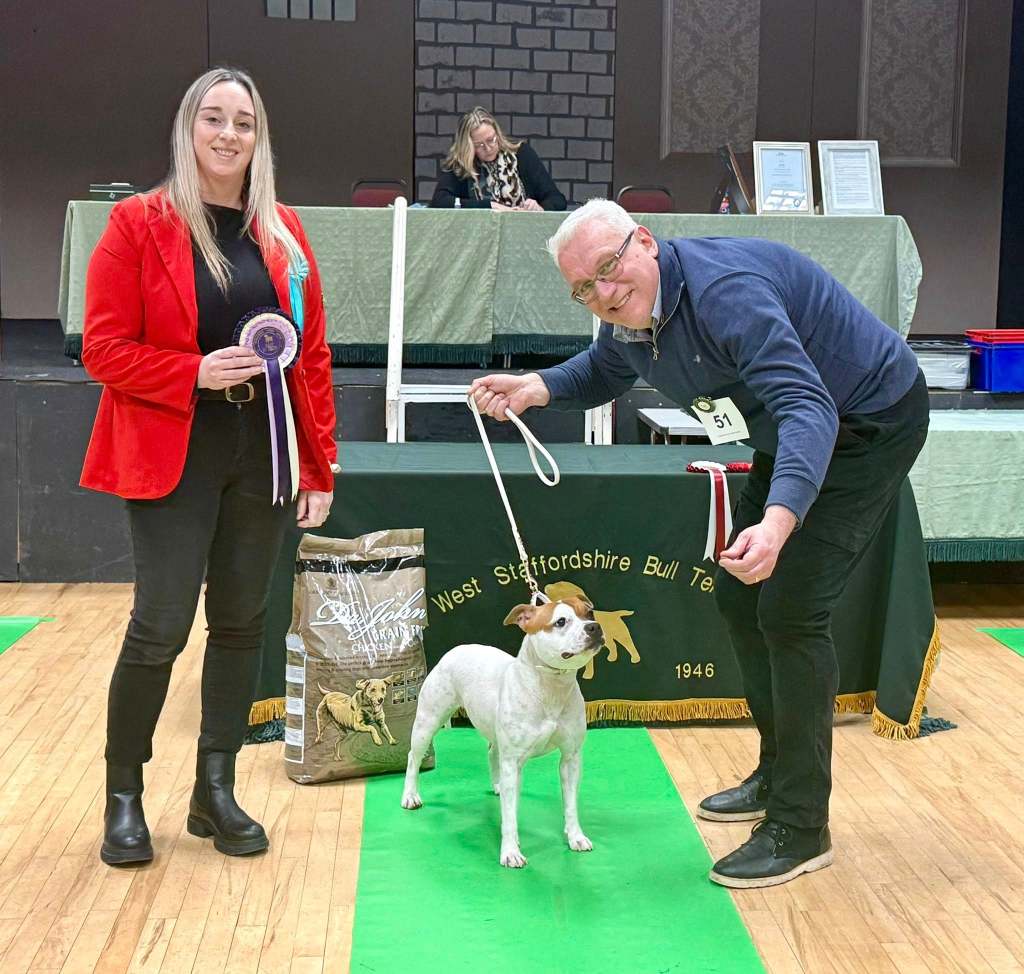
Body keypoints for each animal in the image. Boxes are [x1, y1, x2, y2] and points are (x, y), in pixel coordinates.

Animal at [401, 597, 604, 868]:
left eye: (589, 613)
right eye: (561, 622)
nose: (594, 627)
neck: (550, 687)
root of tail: (456, 649)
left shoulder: (570, 758)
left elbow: (570, 804)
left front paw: (576, 837)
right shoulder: (513, 761)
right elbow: (509, 817)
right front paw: (510, 851)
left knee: (492, 753)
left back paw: (498, 785)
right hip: (428, 722)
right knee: (413, 758)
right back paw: (410, 796)